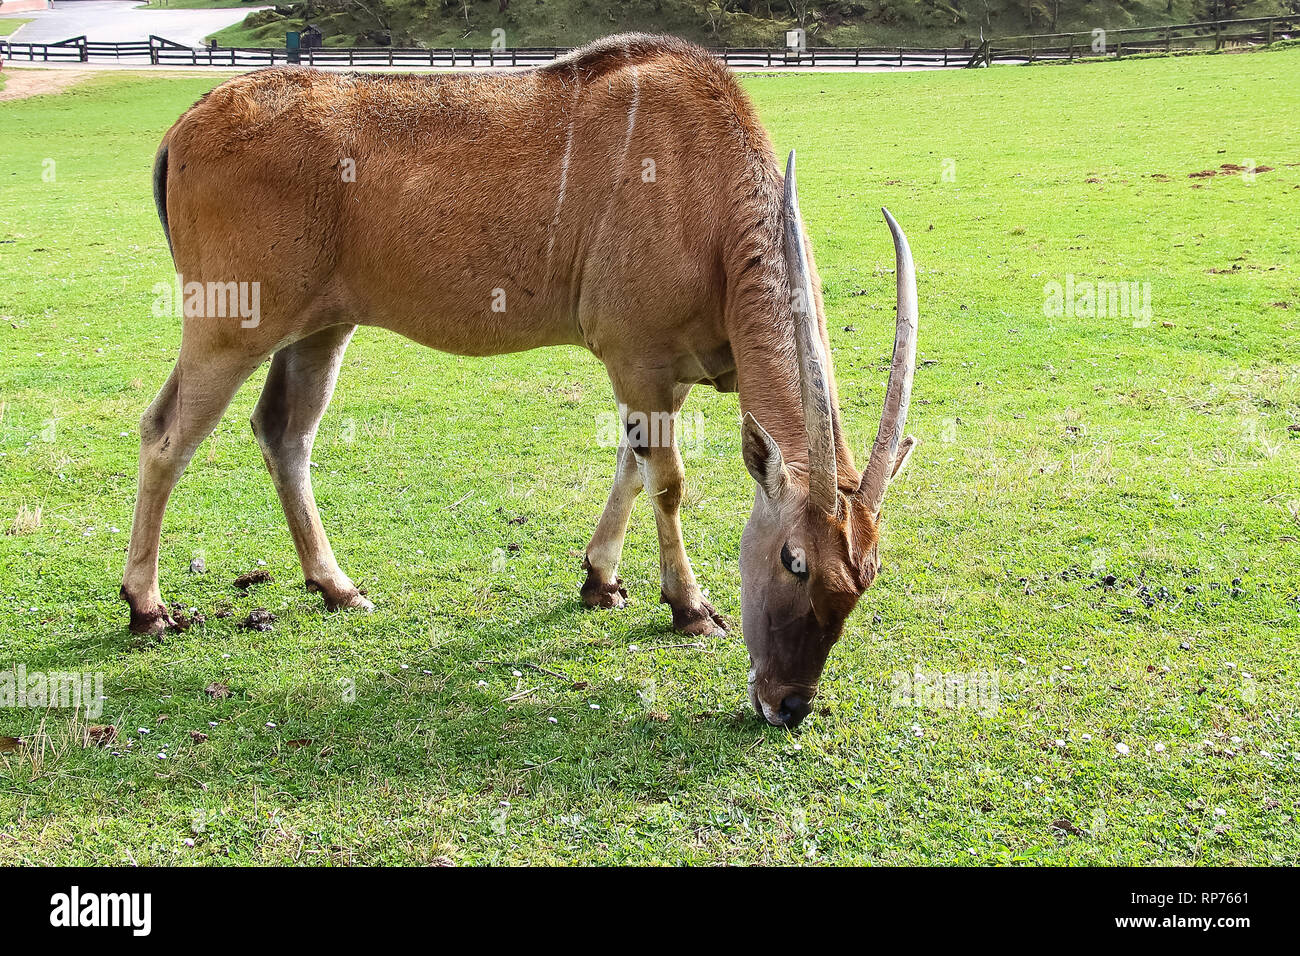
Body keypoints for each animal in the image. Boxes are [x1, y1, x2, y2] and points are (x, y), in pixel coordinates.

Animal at [122, 33, 920, 728]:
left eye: (866, 578)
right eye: (793, 562)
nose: (788, 705)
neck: (709, 199)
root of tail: (184, 126)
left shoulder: (665, 377)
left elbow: (631, 467)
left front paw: (601, 581)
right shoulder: (638, 360)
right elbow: (666, 481)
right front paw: (690, 608)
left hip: (320, 329)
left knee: (284, 432)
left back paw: (336, 587)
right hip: (230, 325)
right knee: (165, 434)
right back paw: (148, 607)